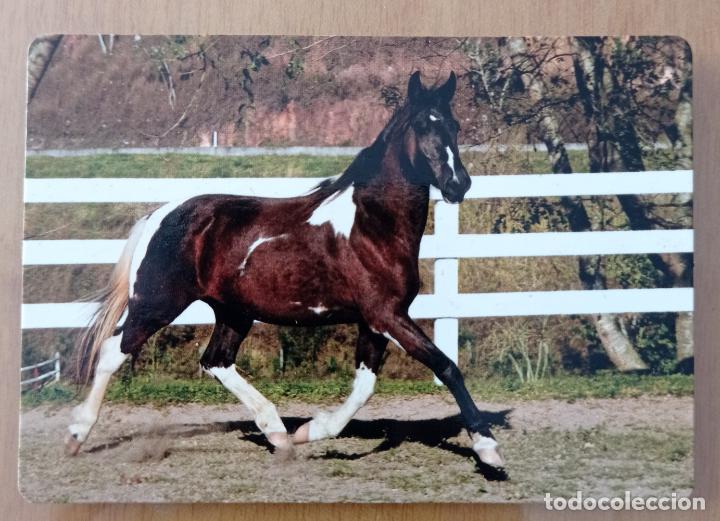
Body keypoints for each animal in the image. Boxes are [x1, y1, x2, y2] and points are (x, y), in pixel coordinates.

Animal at [65, 71, 505, 469]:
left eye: (454, 125)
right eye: (422, 125)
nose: (459, 184)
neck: (371, 225)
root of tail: (159, 215)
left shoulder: (374, 320)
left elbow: (364, 387)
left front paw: (311, 431)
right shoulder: (387, 315)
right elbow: (447, 366)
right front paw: (488, 450)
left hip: (233, 313)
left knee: (215, 362)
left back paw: (278, 433)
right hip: (156, 304)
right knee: (112, 352)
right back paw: (76, 435)